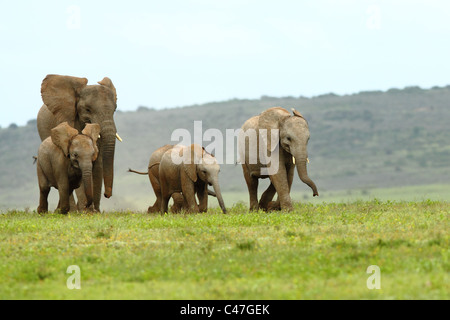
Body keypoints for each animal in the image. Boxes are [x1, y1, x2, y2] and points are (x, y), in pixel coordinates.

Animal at [36, 74, 121, 211]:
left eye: (115, 109)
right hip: (42, 127)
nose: (107, 195)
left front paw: (95, 212)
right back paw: (72, 210)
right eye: (87, 109)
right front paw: (85, 211)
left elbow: (98, 164)